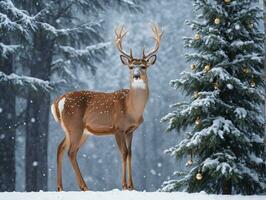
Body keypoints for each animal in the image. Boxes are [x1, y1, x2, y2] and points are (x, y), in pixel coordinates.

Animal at [49, 24, 162, 191]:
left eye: (143, 66)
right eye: (130, 67)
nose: (136, 76)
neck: (131, 110)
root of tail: (59, 100)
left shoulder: (130, 130)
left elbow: (130, 153)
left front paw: (132, 186)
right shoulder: (118, 127)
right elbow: (123, 153)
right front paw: (124, 185)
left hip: (77, 130)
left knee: (61, 148)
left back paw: (61, 187)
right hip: (75, 126)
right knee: (70, 151)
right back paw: (84, 187)